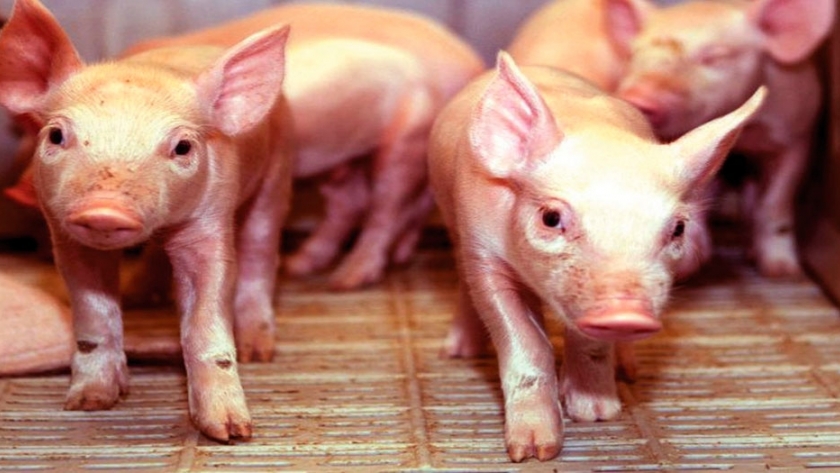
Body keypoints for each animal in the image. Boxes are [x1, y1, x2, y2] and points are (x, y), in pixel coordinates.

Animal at [0, 0, 295, 441]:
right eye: (55, 135)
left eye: (183, 146)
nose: (104, 209)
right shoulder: (65, 233)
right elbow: (92, 314)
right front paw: (88, 403)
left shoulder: (210, 219)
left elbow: (206, 318)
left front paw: (230, 433)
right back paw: (140, 295)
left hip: (278, 172)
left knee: (262, 248)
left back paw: (258, 350)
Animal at [126, 3, 485, 290]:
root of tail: (470, 63)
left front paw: (138, 291)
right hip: (340, 158)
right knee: (352, 203)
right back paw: (300, 266)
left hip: (407, 138)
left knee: (387, 207)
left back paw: (346, 280)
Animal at [428, 52, 765, 461]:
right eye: (550, 217)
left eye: (678, 228)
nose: (626, 313)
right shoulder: (484, 251)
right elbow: (524, 340)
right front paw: (533, 452)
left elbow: (589, 344)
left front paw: (596, 415)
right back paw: (458, 353)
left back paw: (627, 371)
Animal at [605, 0, 835, 278]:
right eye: (633, 56)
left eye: (713, 57)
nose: (636, 97)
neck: (746, 134)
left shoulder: (798, 135)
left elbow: (775, 202)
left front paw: (782, 271)